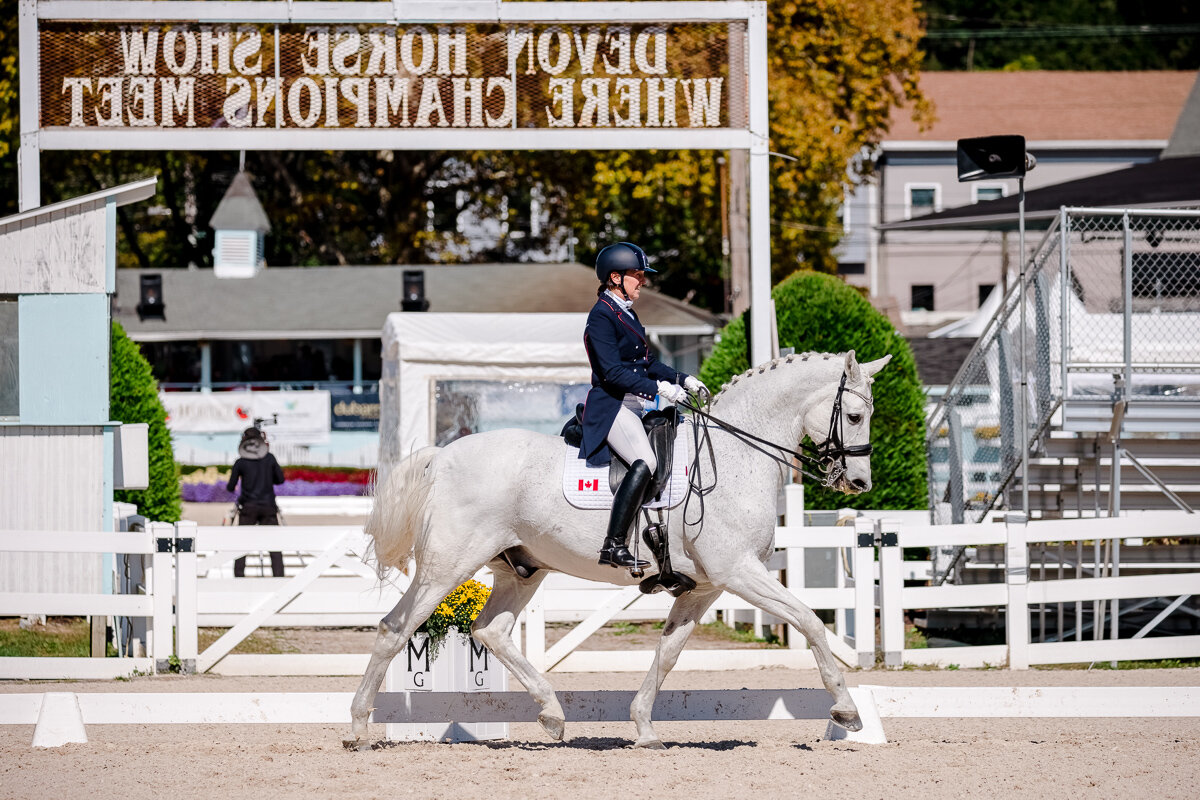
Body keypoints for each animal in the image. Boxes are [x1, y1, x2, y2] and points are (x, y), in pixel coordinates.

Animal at [348, 350, 892, 753]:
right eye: (855, 415)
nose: (859, 484)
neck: (735, 455)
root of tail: (444, 454)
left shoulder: (704, 587)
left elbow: (668, 653)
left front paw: (645, 729)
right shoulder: (740, 572)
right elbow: (810, 621)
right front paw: (847, 710)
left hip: (521, 570)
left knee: (490, 631)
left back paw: (552, 714)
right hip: (447, 566)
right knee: (395, 628)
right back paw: (358, 728)